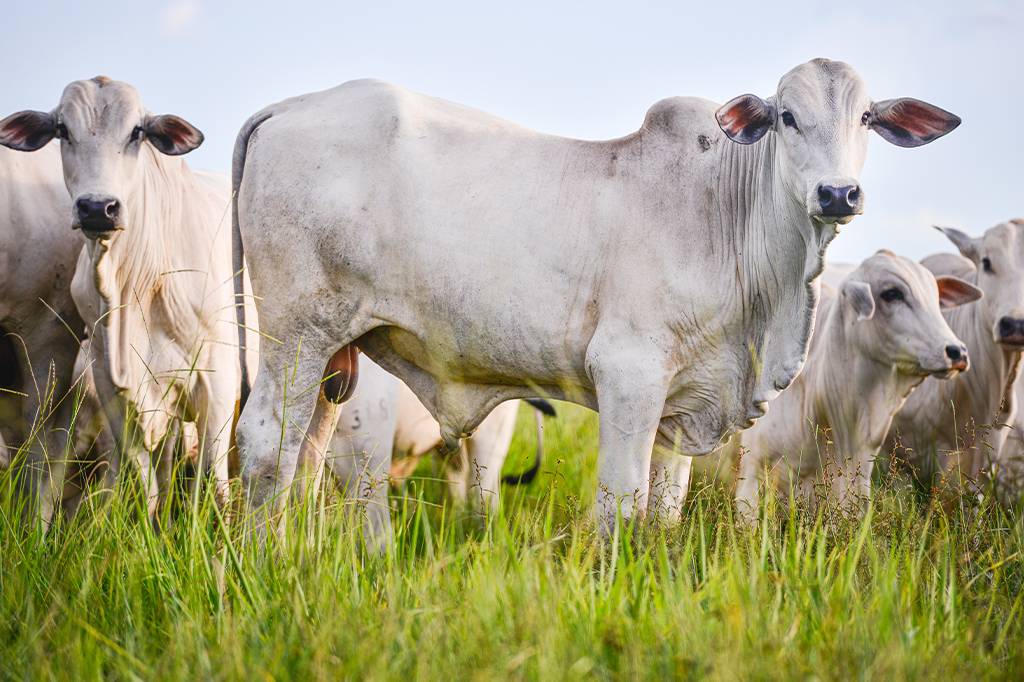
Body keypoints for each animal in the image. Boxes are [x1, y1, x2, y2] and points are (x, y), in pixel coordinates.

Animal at [0, 77, 248, 519]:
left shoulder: (218, 380)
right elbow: (146, 487)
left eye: (137, 132)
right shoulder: (112, 384)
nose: (98, 208)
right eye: (62, 129)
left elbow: (213, 490)